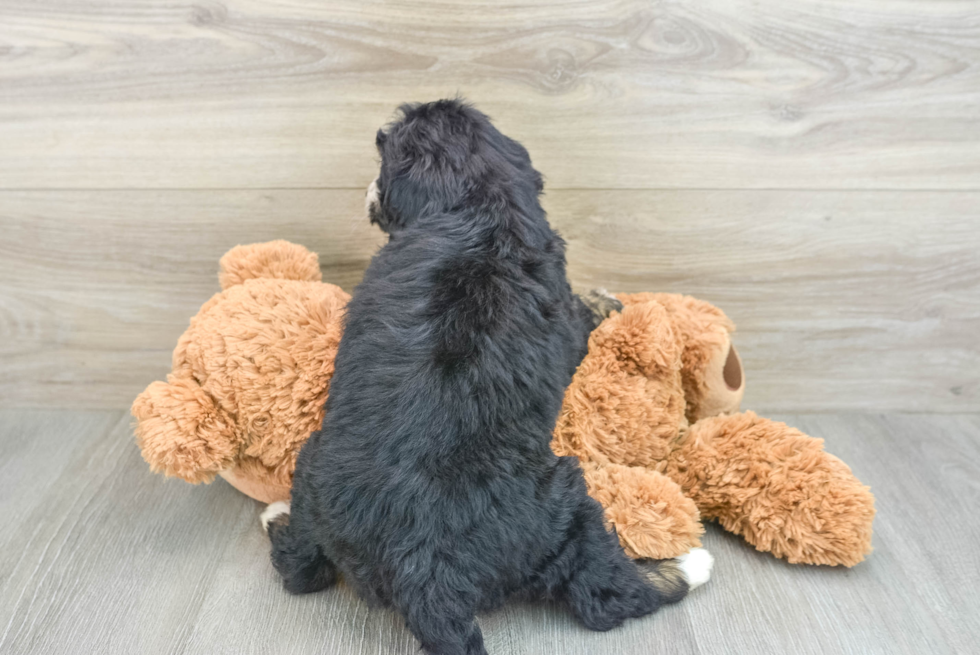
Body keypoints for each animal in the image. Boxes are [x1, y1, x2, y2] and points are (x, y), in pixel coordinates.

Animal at [266, 98, 712, 655]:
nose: (368, 190)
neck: (480, 201)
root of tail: (426, 570)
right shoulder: (567, 324)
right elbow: (584, 314)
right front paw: (607, 300)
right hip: (564, 506)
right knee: (605, 595)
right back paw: (688, 564)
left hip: (317, 468)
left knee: (302, 570)